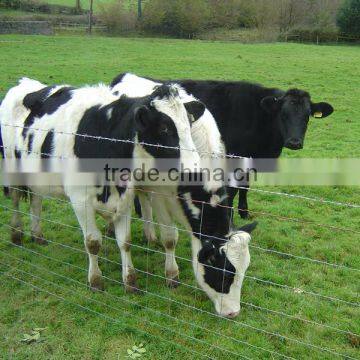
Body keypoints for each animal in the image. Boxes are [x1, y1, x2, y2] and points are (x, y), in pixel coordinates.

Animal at [1, 77, 258, 316]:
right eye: (222, 271)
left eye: (244, 270)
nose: (233, 312)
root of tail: (26, 83)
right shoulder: (87, 199)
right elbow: (100, 242)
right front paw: (99, 281)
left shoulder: (127, 195)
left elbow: (127, 240)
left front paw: (138, 276)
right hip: (12, 167)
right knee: (15, 199)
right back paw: (17, 234)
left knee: (36, 200)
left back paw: (39, 235)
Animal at [112, 74, 334, 218]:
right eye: (283, 114)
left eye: (307, 116)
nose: (294, 142)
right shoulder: (231, 157)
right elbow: (233, 188)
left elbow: (245, 184)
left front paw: (244, 212)